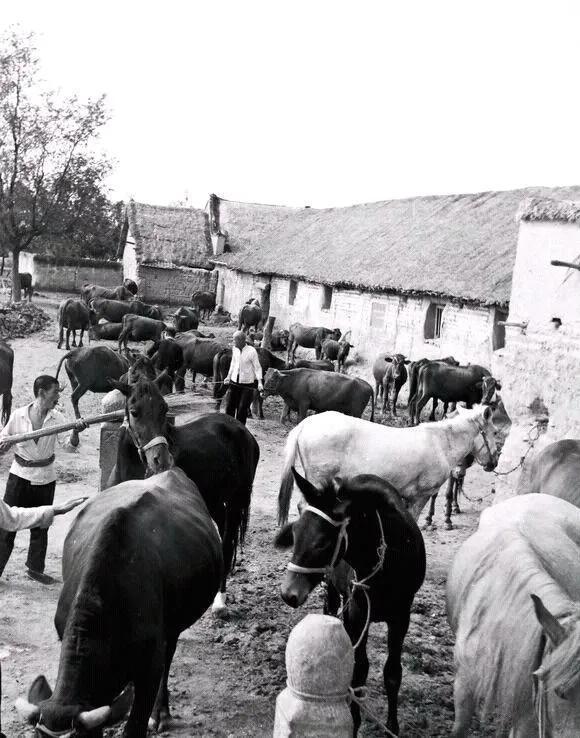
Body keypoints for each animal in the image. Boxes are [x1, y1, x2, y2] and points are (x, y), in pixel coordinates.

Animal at [107, 376, 260, 612]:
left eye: (164, 408)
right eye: (134, 411)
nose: (160, 459)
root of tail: (243, 432)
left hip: (234, 502)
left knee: (227, 542)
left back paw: (220, 600)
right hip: (215, 502)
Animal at [274, 468, 424, 732]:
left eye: (323, 542)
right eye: (295, 533)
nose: (288, 593)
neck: (386, 562)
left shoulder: (401, 617)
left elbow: (392, 673)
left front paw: (392, 726)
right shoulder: (357, 613)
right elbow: (360, 670)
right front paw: (354, 721)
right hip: (335, 591)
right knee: (331, 611)